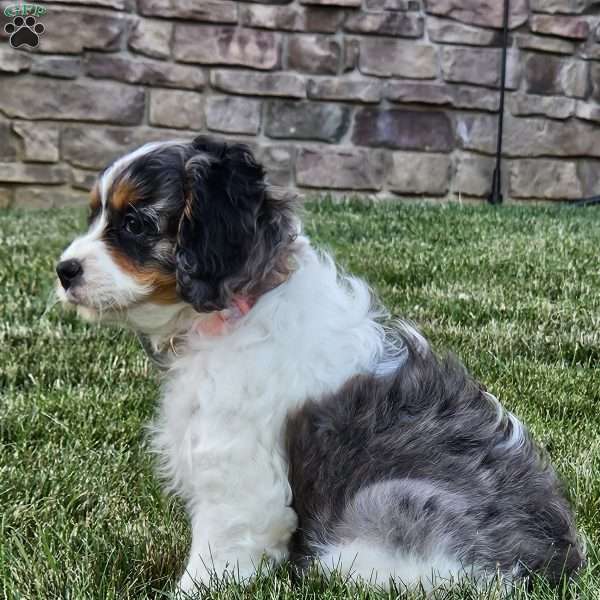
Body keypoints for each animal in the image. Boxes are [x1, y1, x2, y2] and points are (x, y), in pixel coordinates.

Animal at [55, 136, 580, 592]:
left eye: (134, 224)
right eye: (94, 214)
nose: (63, 271)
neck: (237, 310)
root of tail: (556, 566)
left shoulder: (238, 473)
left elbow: (214, 556)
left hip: (384, 508)